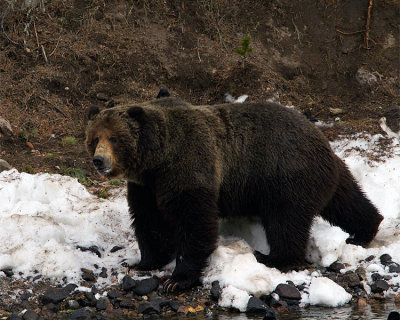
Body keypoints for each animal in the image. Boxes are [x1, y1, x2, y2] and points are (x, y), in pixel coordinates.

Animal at [86, 97, 382, 292]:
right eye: (94, 138)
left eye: (114, 138)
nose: (99, 160)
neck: (157, 160)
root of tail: (322, 139)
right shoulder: (146, 186)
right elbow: (149, 220)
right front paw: (143, 262)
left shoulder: (190, 166)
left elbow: (195, 222)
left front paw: (177, 279)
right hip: (326, 175)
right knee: (346, 201)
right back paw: (365, 229)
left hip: (284, 176)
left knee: (286, 221)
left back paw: (273, 257)